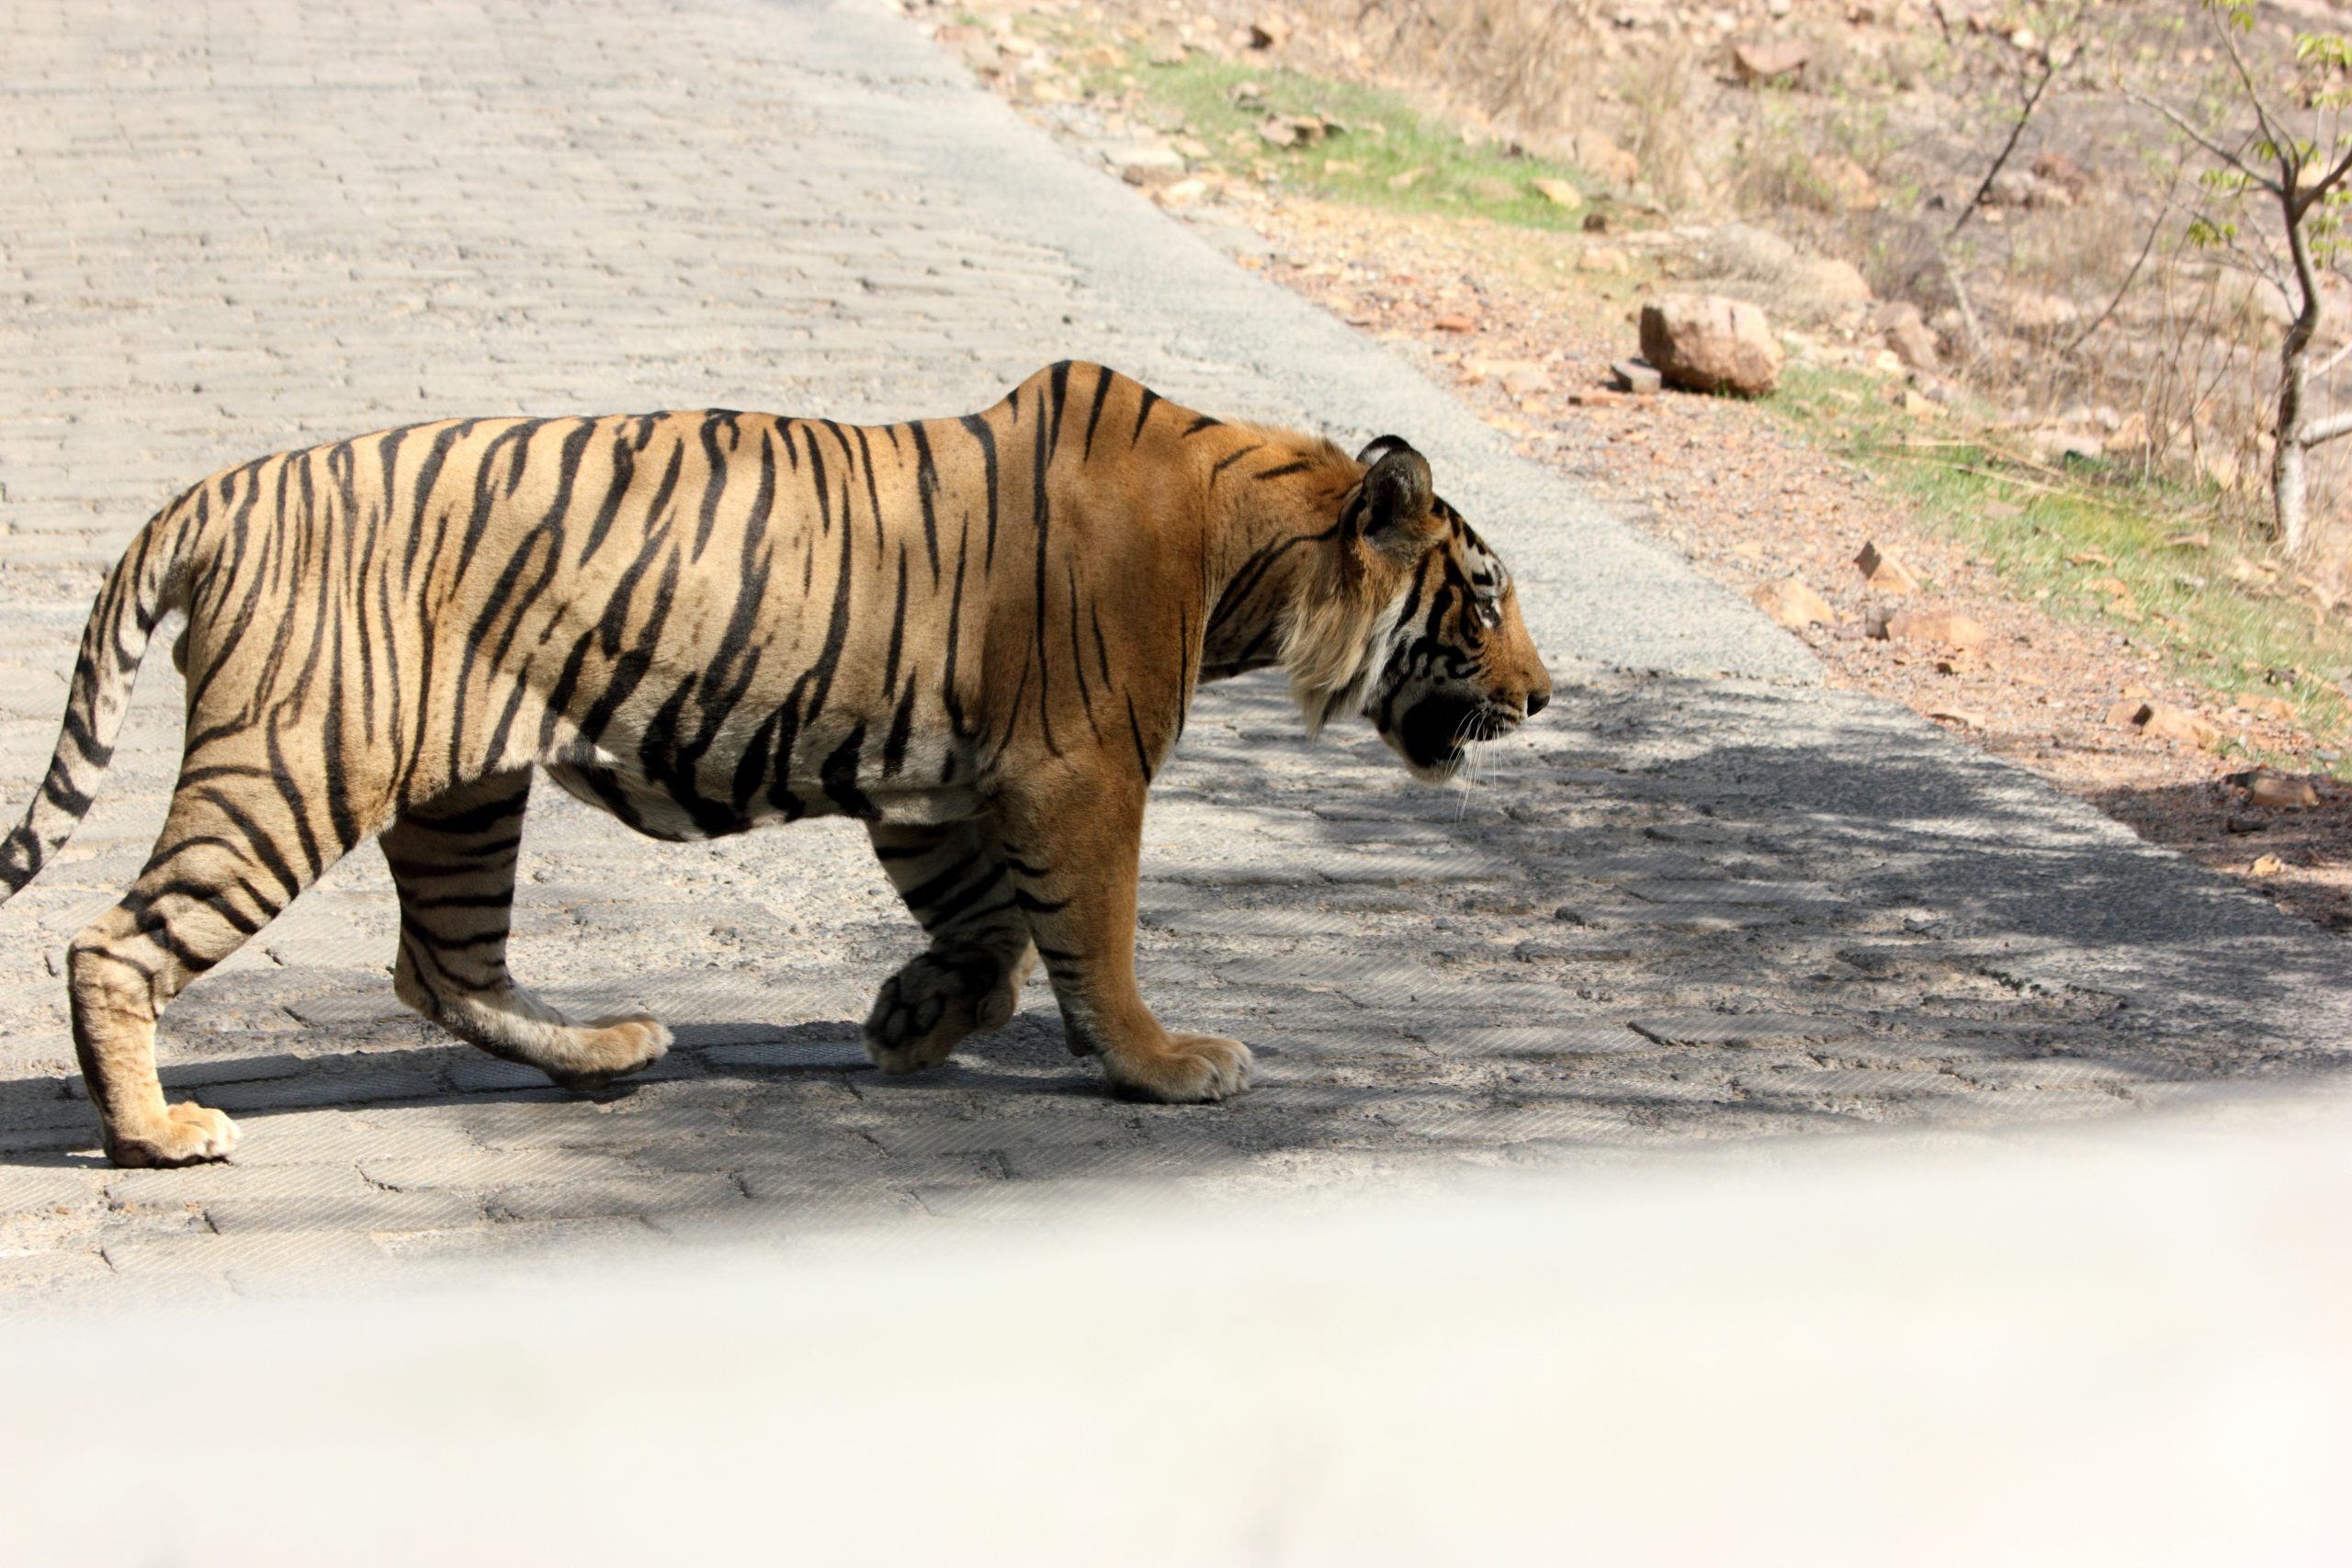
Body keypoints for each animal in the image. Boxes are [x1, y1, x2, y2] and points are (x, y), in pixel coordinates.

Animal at [0, 359, 1552, 1166]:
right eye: (1484, 601)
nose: (1543, 696)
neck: (1253, 563)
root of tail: (213, 493)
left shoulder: (941, 783)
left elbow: (993, 936)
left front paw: (911, 1018)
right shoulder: (1082, 774)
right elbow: (1095, 939)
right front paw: (1165, 1063)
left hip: (459, 791)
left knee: (442, 965)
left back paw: (607, 1051)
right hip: (296, 765)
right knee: (113, 941)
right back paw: (155, 1130)